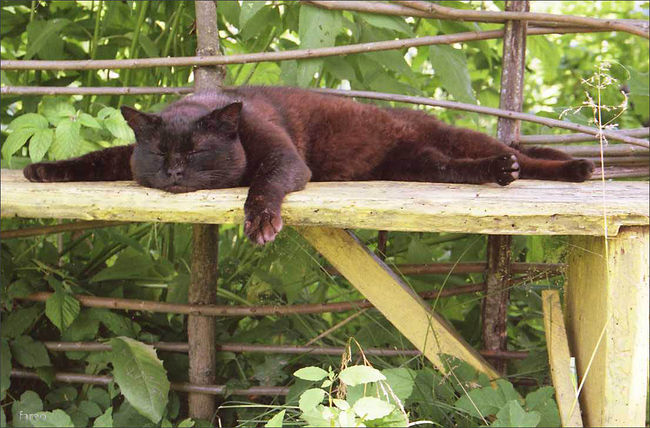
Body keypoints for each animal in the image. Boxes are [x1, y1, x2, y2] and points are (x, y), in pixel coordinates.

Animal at [23, 86, 594, 244]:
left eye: (198, 152)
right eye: (160, 152)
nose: (175, 173)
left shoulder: (285, 158)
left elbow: (263, 184)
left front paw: (260, 223)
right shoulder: (121, 158)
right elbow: (95, 159)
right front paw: (41, 171)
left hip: (452, 135)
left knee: (529, 156)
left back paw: (573, 169)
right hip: (423, 163)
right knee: (461, 168)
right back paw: (498, 172)